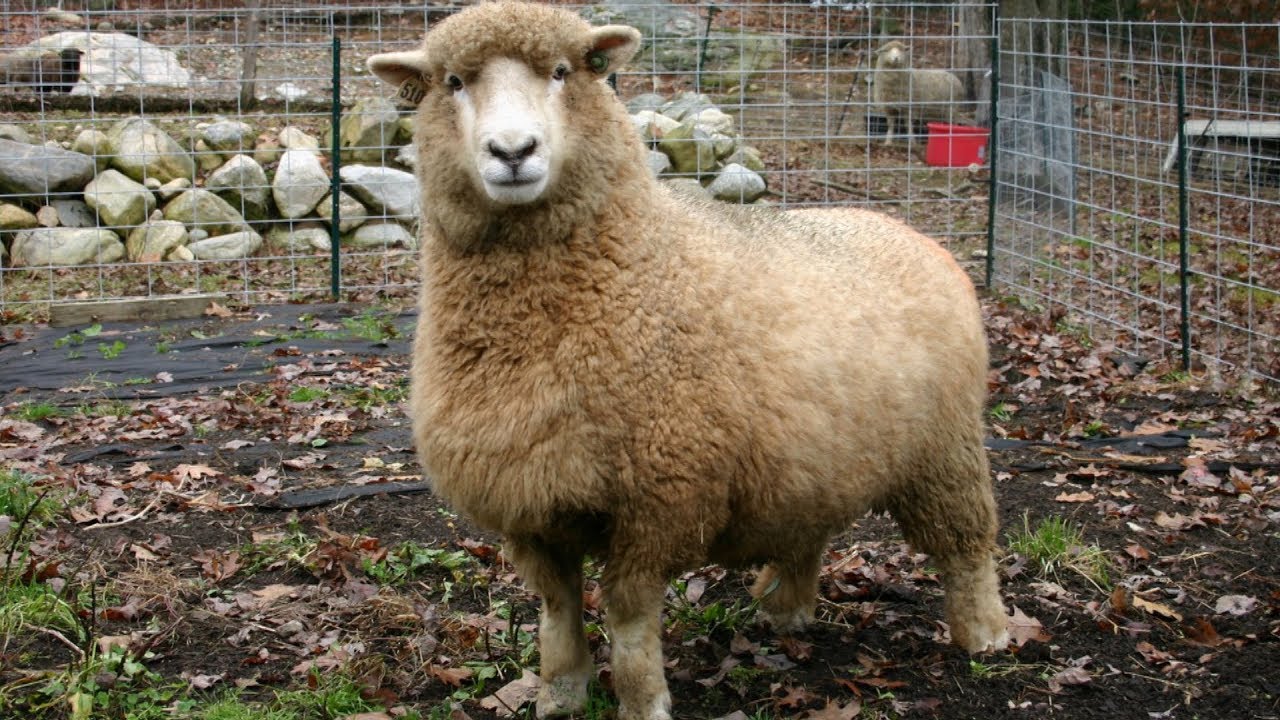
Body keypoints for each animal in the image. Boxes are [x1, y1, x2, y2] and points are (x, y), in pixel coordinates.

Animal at [368, 4, 1008, 719]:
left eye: (564, 71)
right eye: (453, 82)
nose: (512, 152)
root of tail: (916, 235)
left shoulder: (661, 495)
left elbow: (627, 615)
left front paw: (642, 700)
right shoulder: (529, 502)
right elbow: (558, 607)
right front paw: (562, 693)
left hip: (944, 449)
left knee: (968, 542)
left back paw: (986, 633)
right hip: (817, 458)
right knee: (809, 529)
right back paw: (784, 609)